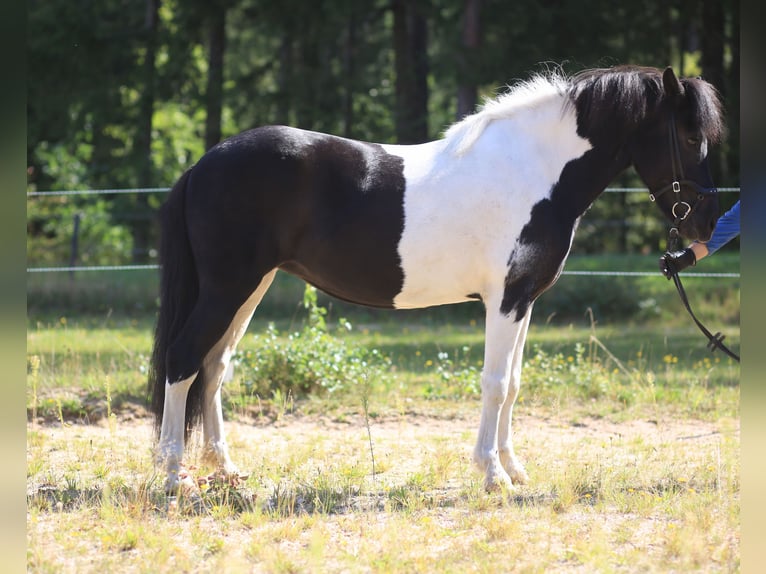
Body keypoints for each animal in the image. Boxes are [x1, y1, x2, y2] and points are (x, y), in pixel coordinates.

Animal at [149, 65, 724, 493]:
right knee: (183, 360)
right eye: (690, 133)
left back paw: (225, 469)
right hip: (228, 287)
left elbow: (514, 383)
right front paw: (492, 475)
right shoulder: (504, 300)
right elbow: (494, 383)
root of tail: (202, 164)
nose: (704, 225)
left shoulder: (524, 302)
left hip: (250, 286)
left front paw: (514, 469)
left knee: (214, 366)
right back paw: (175, 475)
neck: (534, 170)